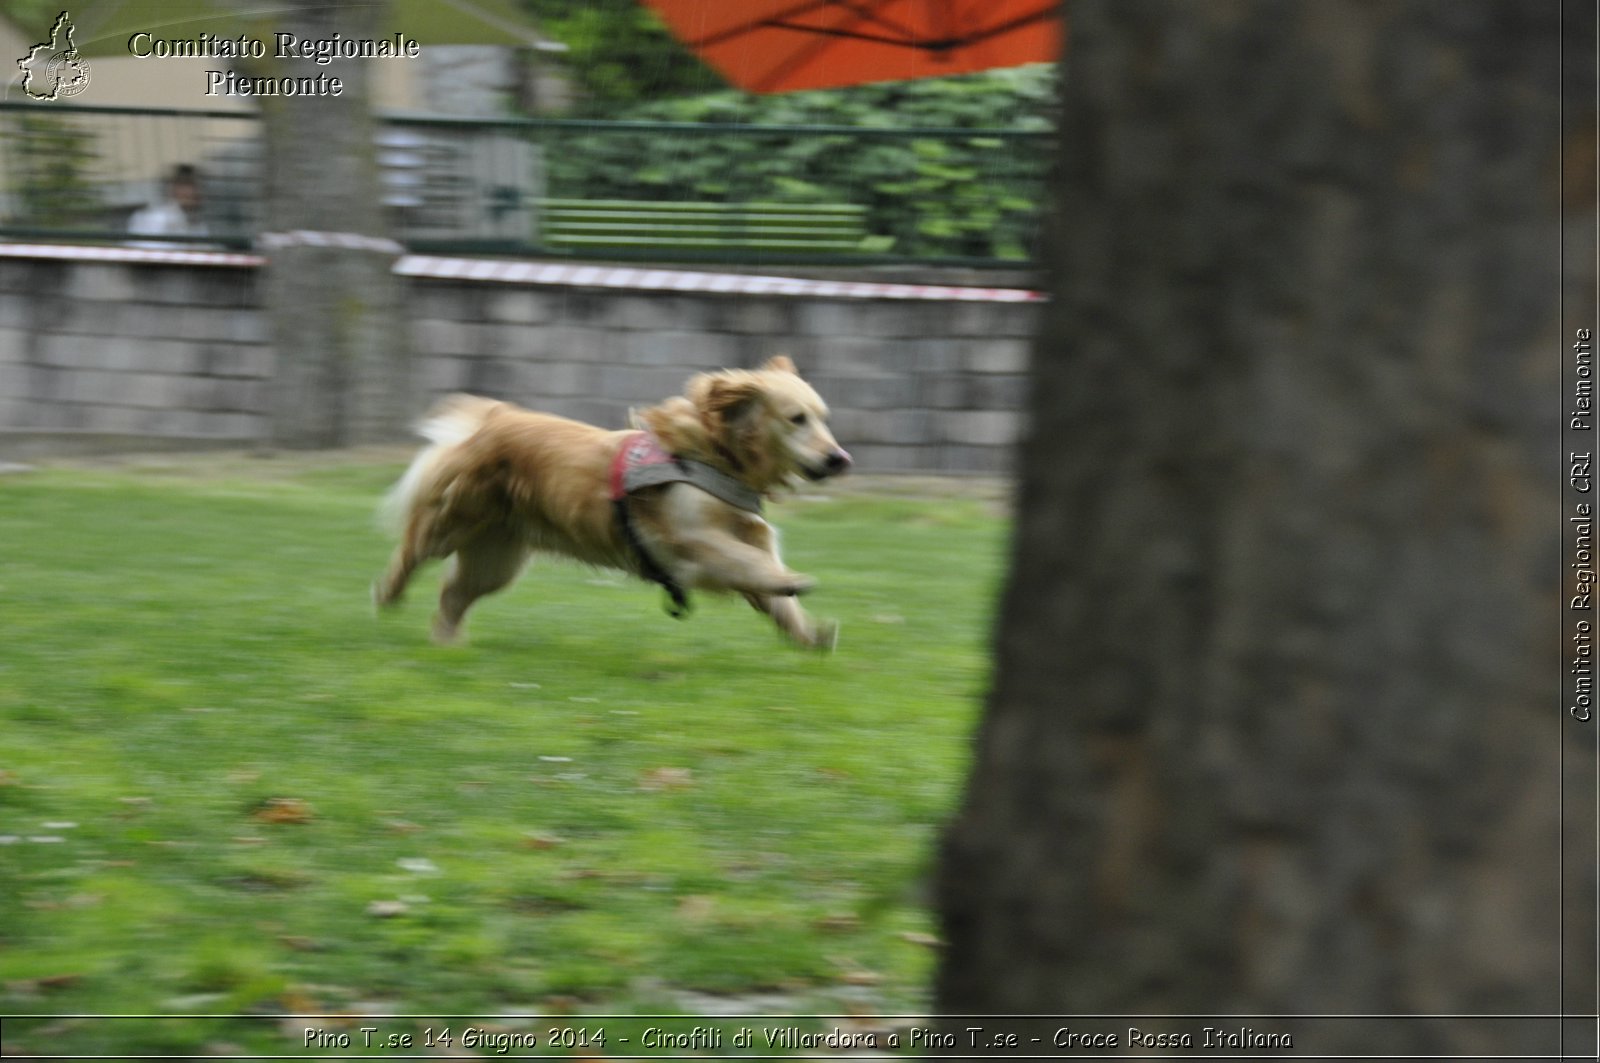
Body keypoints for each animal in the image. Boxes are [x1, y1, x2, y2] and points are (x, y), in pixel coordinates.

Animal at [372, 358, 851, 646]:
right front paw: (792, 580)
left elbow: (772, 591)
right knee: (410, 552)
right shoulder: (691, 540)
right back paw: (388, 595)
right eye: (796, 419)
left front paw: (809, 631)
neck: (717, 456)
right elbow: (747, 561)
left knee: (453, 594)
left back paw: (448, 643)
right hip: (451, 522)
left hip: (496, 559)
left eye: (824, 418)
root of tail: (487, 423)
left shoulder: (747, 536)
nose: (839, 459)